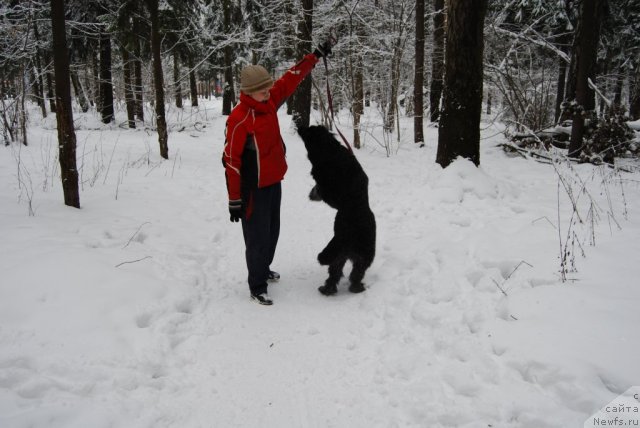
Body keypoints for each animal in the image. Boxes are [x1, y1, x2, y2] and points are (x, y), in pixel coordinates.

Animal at [298, 125, 378, 296]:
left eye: (309, 130)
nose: (299, 126)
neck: (330, 150)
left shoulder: (328, 188)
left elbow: (320, 187)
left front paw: (314, 193)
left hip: (338, 251)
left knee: (338, 273)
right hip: (357, 257)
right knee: (350, 274)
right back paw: (346, 289)